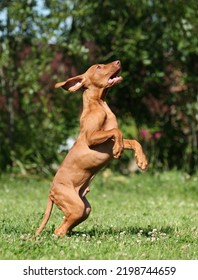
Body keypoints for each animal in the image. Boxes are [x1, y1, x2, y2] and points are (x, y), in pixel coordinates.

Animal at [34, 60, 148, 237]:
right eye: (99, 67)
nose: (118, 61)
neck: (100, 104)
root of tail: (51, 192)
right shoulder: (91, 138)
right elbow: (117, 131)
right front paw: (118, 150)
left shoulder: (109, 141)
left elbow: (133, 141)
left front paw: (141, 161)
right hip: (75, 206)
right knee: (59, 230)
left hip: (84, 208)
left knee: (66, 225)